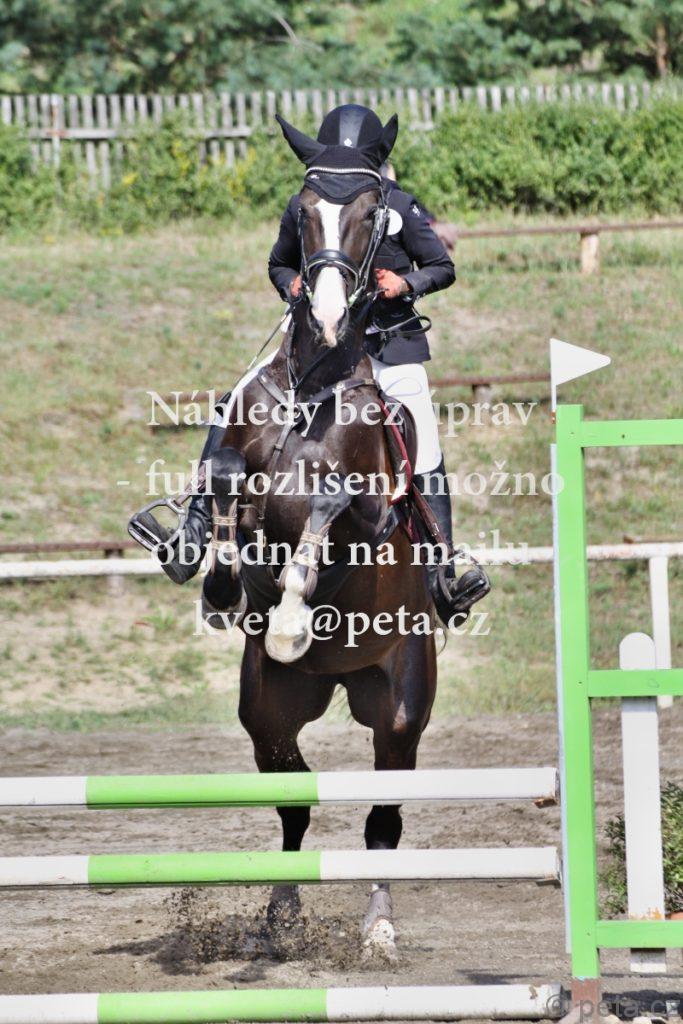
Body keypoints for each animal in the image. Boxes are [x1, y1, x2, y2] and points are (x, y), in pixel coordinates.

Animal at [200, 177, 438, 956]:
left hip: (398, 707)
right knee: (294, 803)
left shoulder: (365, 510)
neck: (312, 386)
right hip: (271, 711)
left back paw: (378, 927)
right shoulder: (239, 472)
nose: (331, 315)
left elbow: (328, 507)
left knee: (382, 819)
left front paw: (290, 617)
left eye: (371, 218)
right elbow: (224, 482)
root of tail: (341, 681)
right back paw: (280, 916)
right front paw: (223, 582)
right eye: (301, 216)